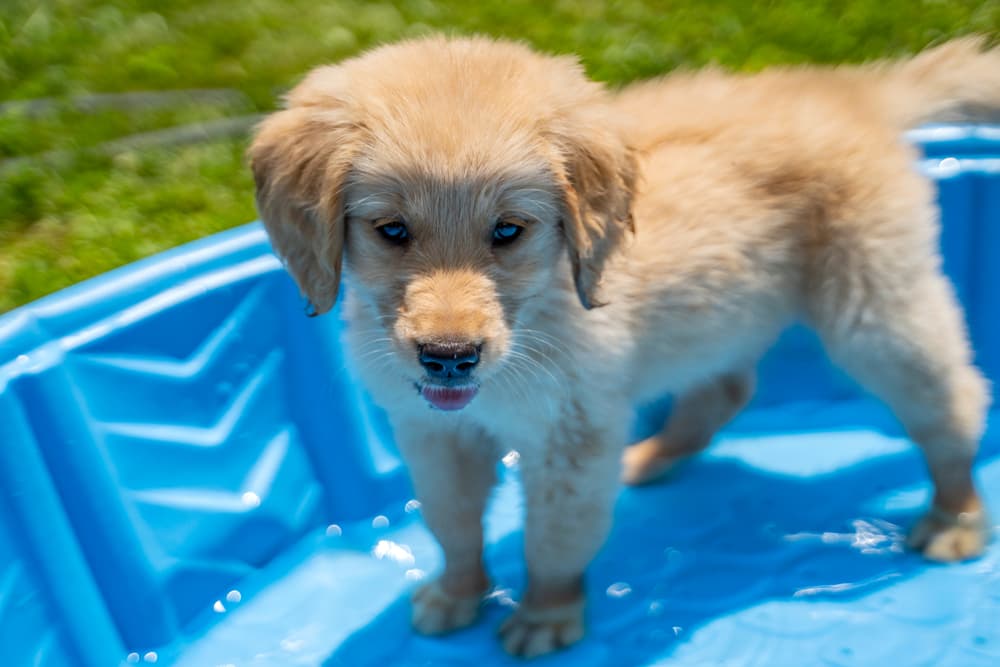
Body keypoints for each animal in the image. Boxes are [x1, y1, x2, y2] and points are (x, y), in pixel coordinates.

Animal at [252, 35, 1000, 656]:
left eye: (508, 230)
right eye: (392, 231)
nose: (449, 355)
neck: (540, 316)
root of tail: (847, 90)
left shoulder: (572, 438)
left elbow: (555, 534)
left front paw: (546, 613)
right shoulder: (433, 433)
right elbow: (451, 521)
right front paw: (457, 592)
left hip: (872, 307)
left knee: (953, 395)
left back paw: (955, 514)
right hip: (726, 307)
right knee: (728, 387)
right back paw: (653, 457)